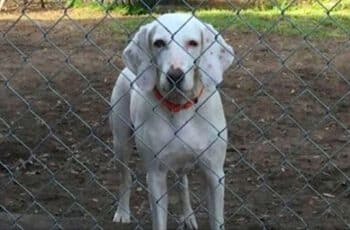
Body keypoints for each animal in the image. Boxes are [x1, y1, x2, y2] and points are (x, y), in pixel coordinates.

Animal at [110, 13, 234, 230]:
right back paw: (123, 212)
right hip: (121, 142)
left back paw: (188, 217)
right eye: (159, 43)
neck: (180, 108)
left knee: (182, 184)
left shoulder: (214, 173)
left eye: (193, 43)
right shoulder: (156, 176)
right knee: (125, 177)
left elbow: (216, 219)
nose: (175, 76)